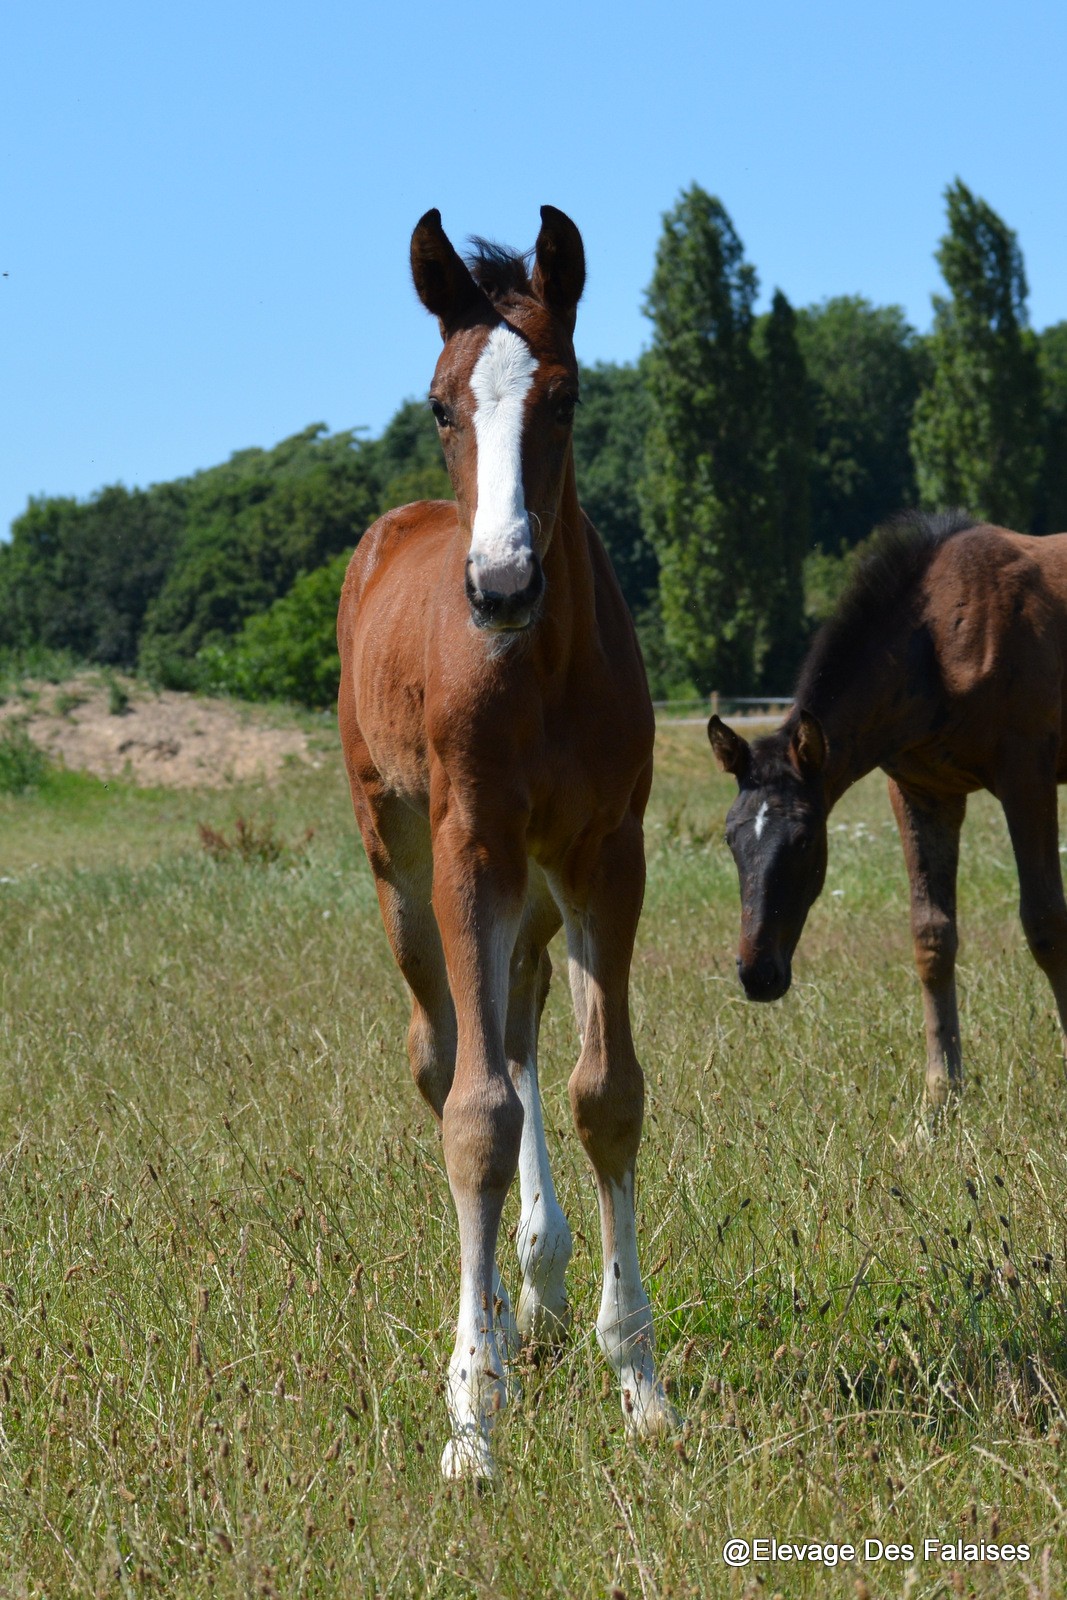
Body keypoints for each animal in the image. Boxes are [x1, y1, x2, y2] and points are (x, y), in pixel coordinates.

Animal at [340, 209, 675, 1472]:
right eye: (440, 405)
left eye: (565, 397)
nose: (499, 584)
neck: (537, 669)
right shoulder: (469, 848)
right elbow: (474, 1116)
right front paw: (470, 1415)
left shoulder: (604, 854)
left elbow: (601, 1093)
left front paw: (637, 1377)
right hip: (400, 867)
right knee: (447, 1058)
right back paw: (487, 1318)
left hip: (534, 888)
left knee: (522, 1035)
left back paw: (536, 1285)